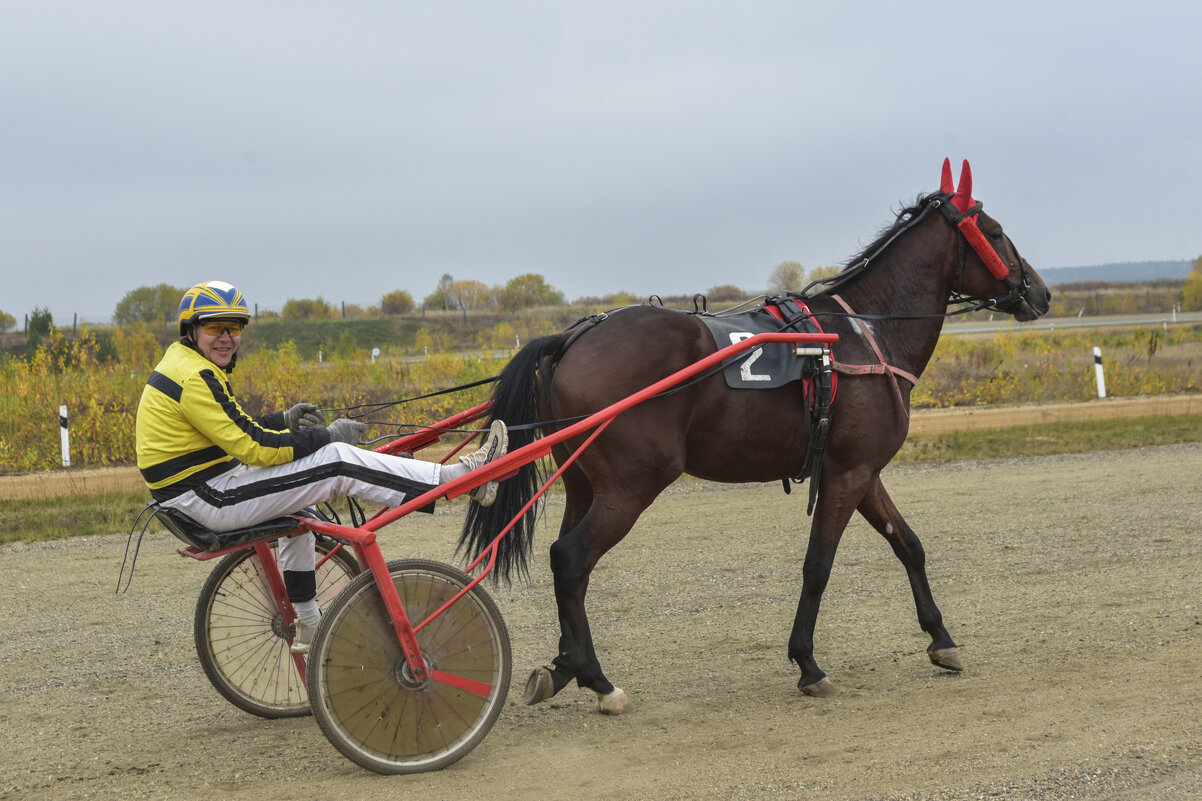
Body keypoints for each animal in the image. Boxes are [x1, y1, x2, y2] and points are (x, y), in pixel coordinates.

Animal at [459, 157, 1052, 712]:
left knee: (569, 568)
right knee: (571, 558)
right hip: (633, 484)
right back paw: (599, 680)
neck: (863, 332)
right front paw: (808, 662)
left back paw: (564, 665)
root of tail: (573, 338)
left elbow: (908, 544)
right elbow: (818, 566)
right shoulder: (849, 473)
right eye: (996, 231)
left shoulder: (862, 471)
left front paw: (941, 638)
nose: (1041, 294)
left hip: (583, 482)